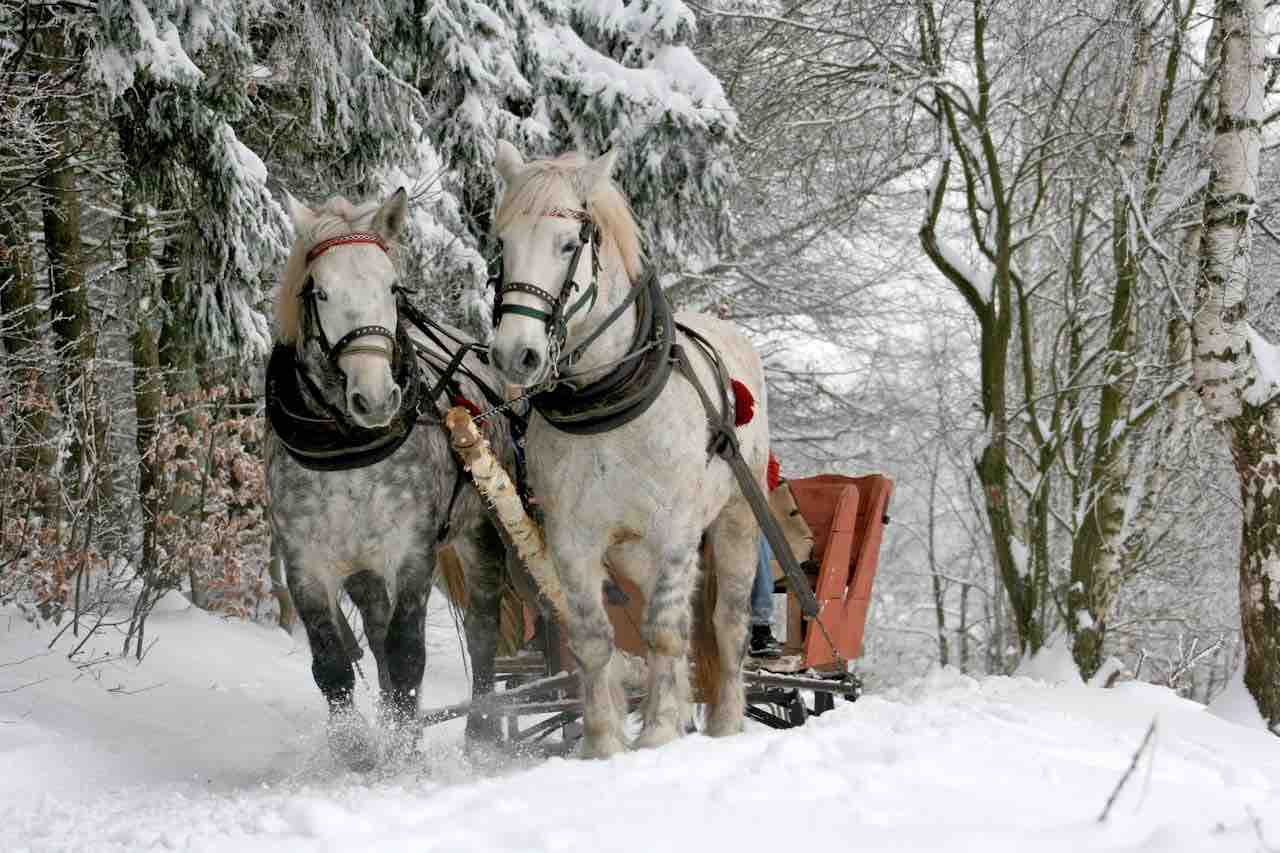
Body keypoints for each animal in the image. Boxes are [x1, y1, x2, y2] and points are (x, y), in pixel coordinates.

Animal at [262, 188, 506, 763]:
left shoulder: (412, 553)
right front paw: (359, 751)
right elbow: (332, 664)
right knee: (375, 635)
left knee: (482, 627)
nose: (375, 399)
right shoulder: (306, 563)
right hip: (364, 569)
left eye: (392, 287)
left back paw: (482, 732)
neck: (348, 448)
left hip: (481, 534)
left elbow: (408, 652)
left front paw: (404, 752)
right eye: (320, 291)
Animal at [486, 142, 768, 753]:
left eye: (568, 245)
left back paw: (726, 723)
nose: (515, 355)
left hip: (735, 519)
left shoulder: (676, 530)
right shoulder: (572, 538)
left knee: (726, 624)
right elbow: (594, 638)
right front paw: (604, 743)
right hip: (632, 552)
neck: (606, 403)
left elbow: (663, 631)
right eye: (502, 244)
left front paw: (659, 733)